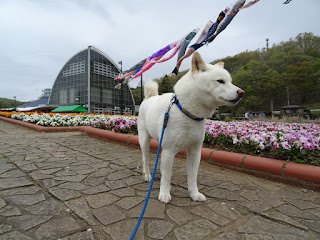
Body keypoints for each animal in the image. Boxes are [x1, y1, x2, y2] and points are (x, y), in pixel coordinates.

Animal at [138, 51, 245, 203]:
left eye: (230, 81)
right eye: (220, 81)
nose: (241, 92)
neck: (188, 113)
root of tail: (149, 98)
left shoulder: (195, 150)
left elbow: (192, 177)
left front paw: (194, 193)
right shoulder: (169, 149)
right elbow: (167, 177)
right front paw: (164, 193)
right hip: (144, 140)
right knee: (145, 158)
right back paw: (147, 175)